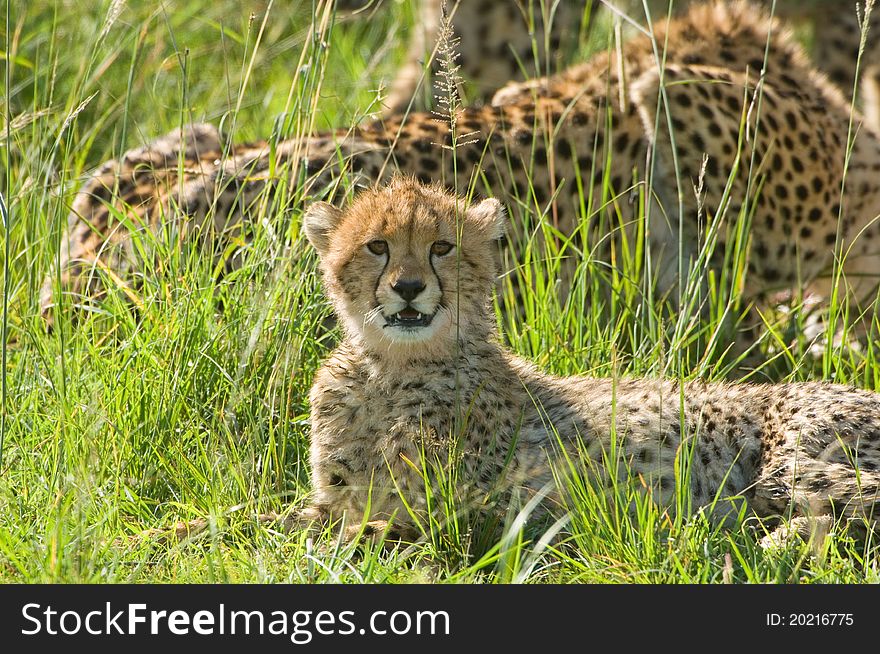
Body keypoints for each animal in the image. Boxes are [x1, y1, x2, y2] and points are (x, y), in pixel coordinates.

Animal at [300, 176, 880, 544]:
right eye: (377, 246)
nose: (409, 288)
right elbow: (300, 517)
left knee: (857, 503)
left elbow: (371, 527)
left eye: (441, 247)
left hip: (788, 465)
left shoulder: (471, 503)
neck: (392, 368)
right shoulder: (338, 493)